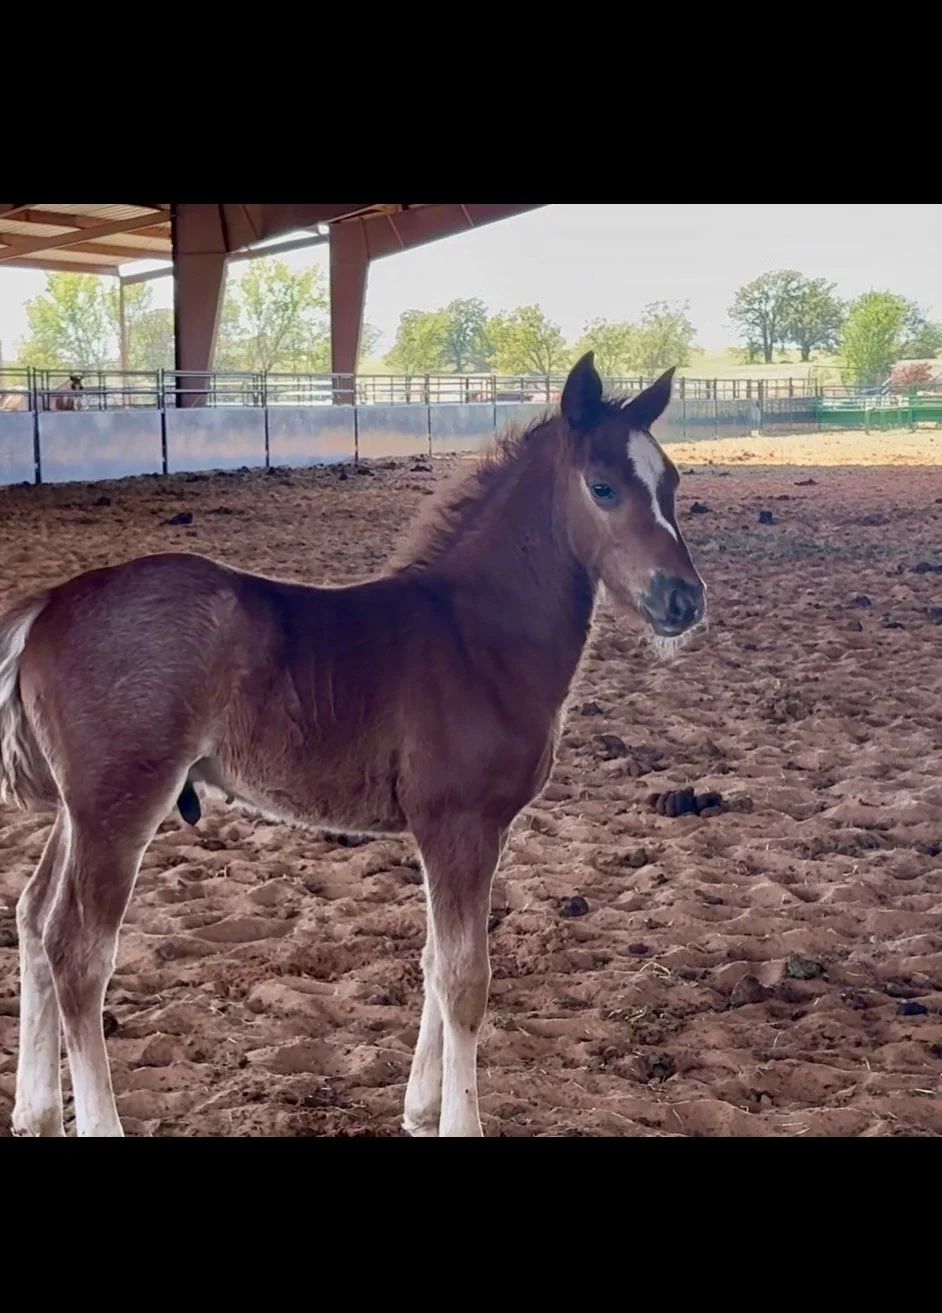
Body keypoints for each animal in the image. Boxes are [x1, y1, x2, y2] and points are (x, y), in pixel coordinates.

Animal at [0, 352, 706, 1138]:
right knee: (77, 951)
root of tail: (46, 607)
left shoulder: (464, 833)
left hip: (79, 811)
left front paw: (421, 1107)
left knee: (32, 920)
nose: (684, 599)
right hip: (118, 809)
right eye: (603, 486)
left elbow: (433, 958)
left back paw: (35, 1112)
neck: (475, 637)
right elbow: (464, 979)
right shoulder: (458, 825)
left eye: (672, 483)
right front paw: (459, 1119)